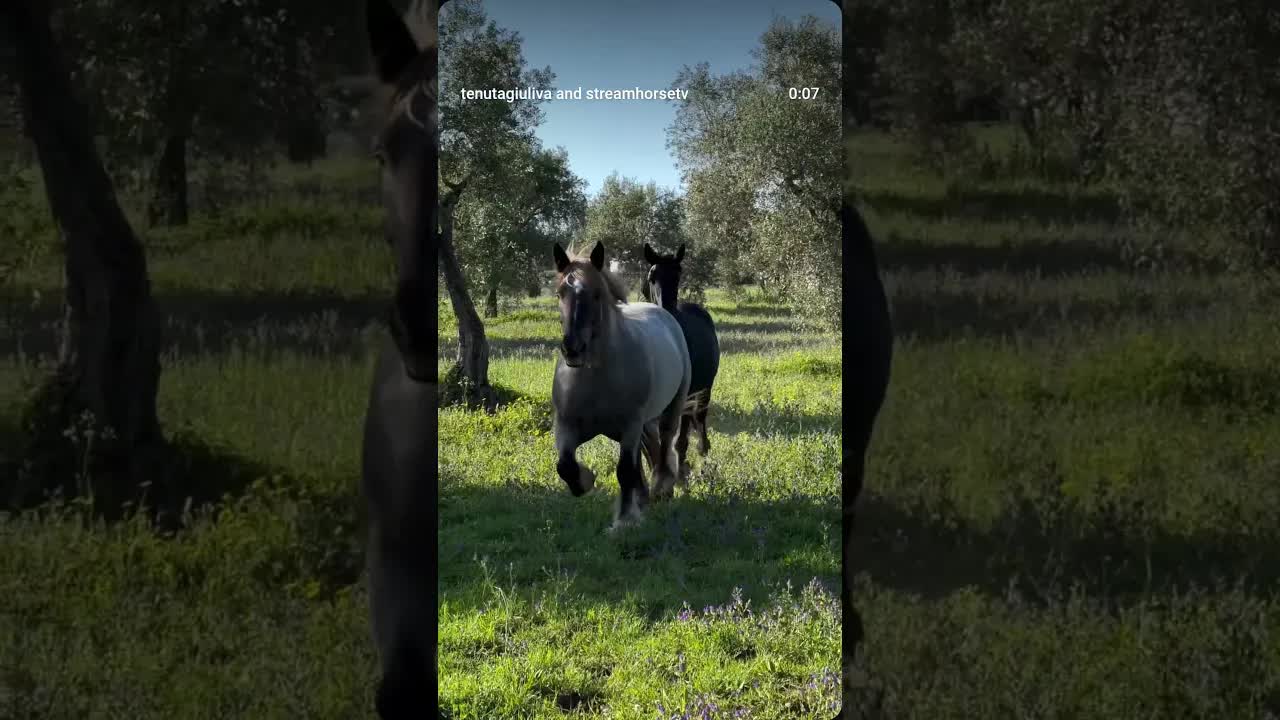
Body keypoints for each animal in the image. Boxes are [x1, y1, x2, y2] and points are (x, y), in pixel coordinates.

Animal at [551, 240, 693, 530]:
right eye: (561, 293)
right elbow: (565, 465)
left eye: (596, 294)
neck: (595, 379)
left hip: (669, 410)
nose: (572, 348)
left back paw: (661, 488)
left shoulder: (630, 425)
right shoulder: (567, 425)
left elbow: (625, 470)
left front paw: (625, 520)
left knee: (664, 442)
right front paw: (586, 480)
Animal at [641, 243, 720, 481]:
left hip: (704, 390)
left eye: (678, 275)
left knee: (699, 420)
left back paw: (702, 452)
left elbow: (679, 439)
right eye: (652, 276)